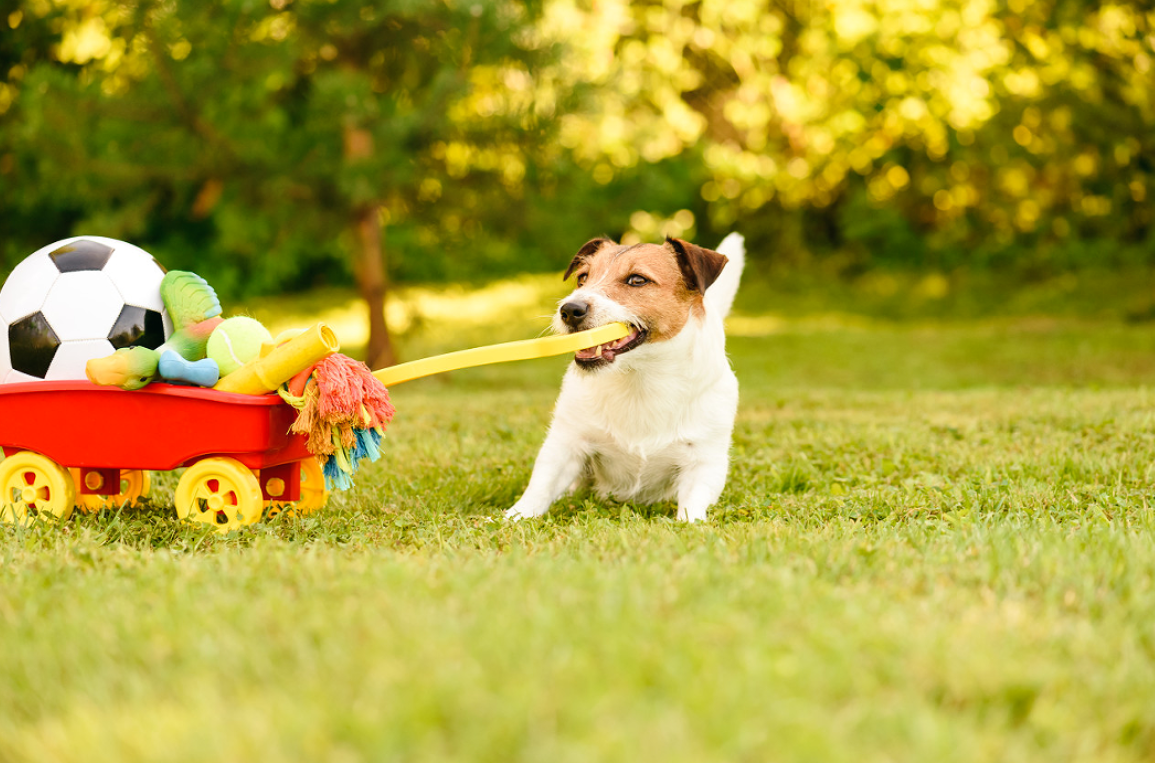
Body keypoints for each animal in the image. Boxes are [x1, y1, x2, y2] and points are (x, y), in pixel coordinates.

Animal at [503, 230, 739, 517]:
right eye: (582, 278)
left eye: (637, 280)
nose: (569, 310)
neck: (640, 377)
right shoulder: (566, 444)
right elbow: (539, 489)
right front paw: (511, 518)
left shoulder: (704, 461)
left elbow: (692, 507)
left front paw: (689, 523)